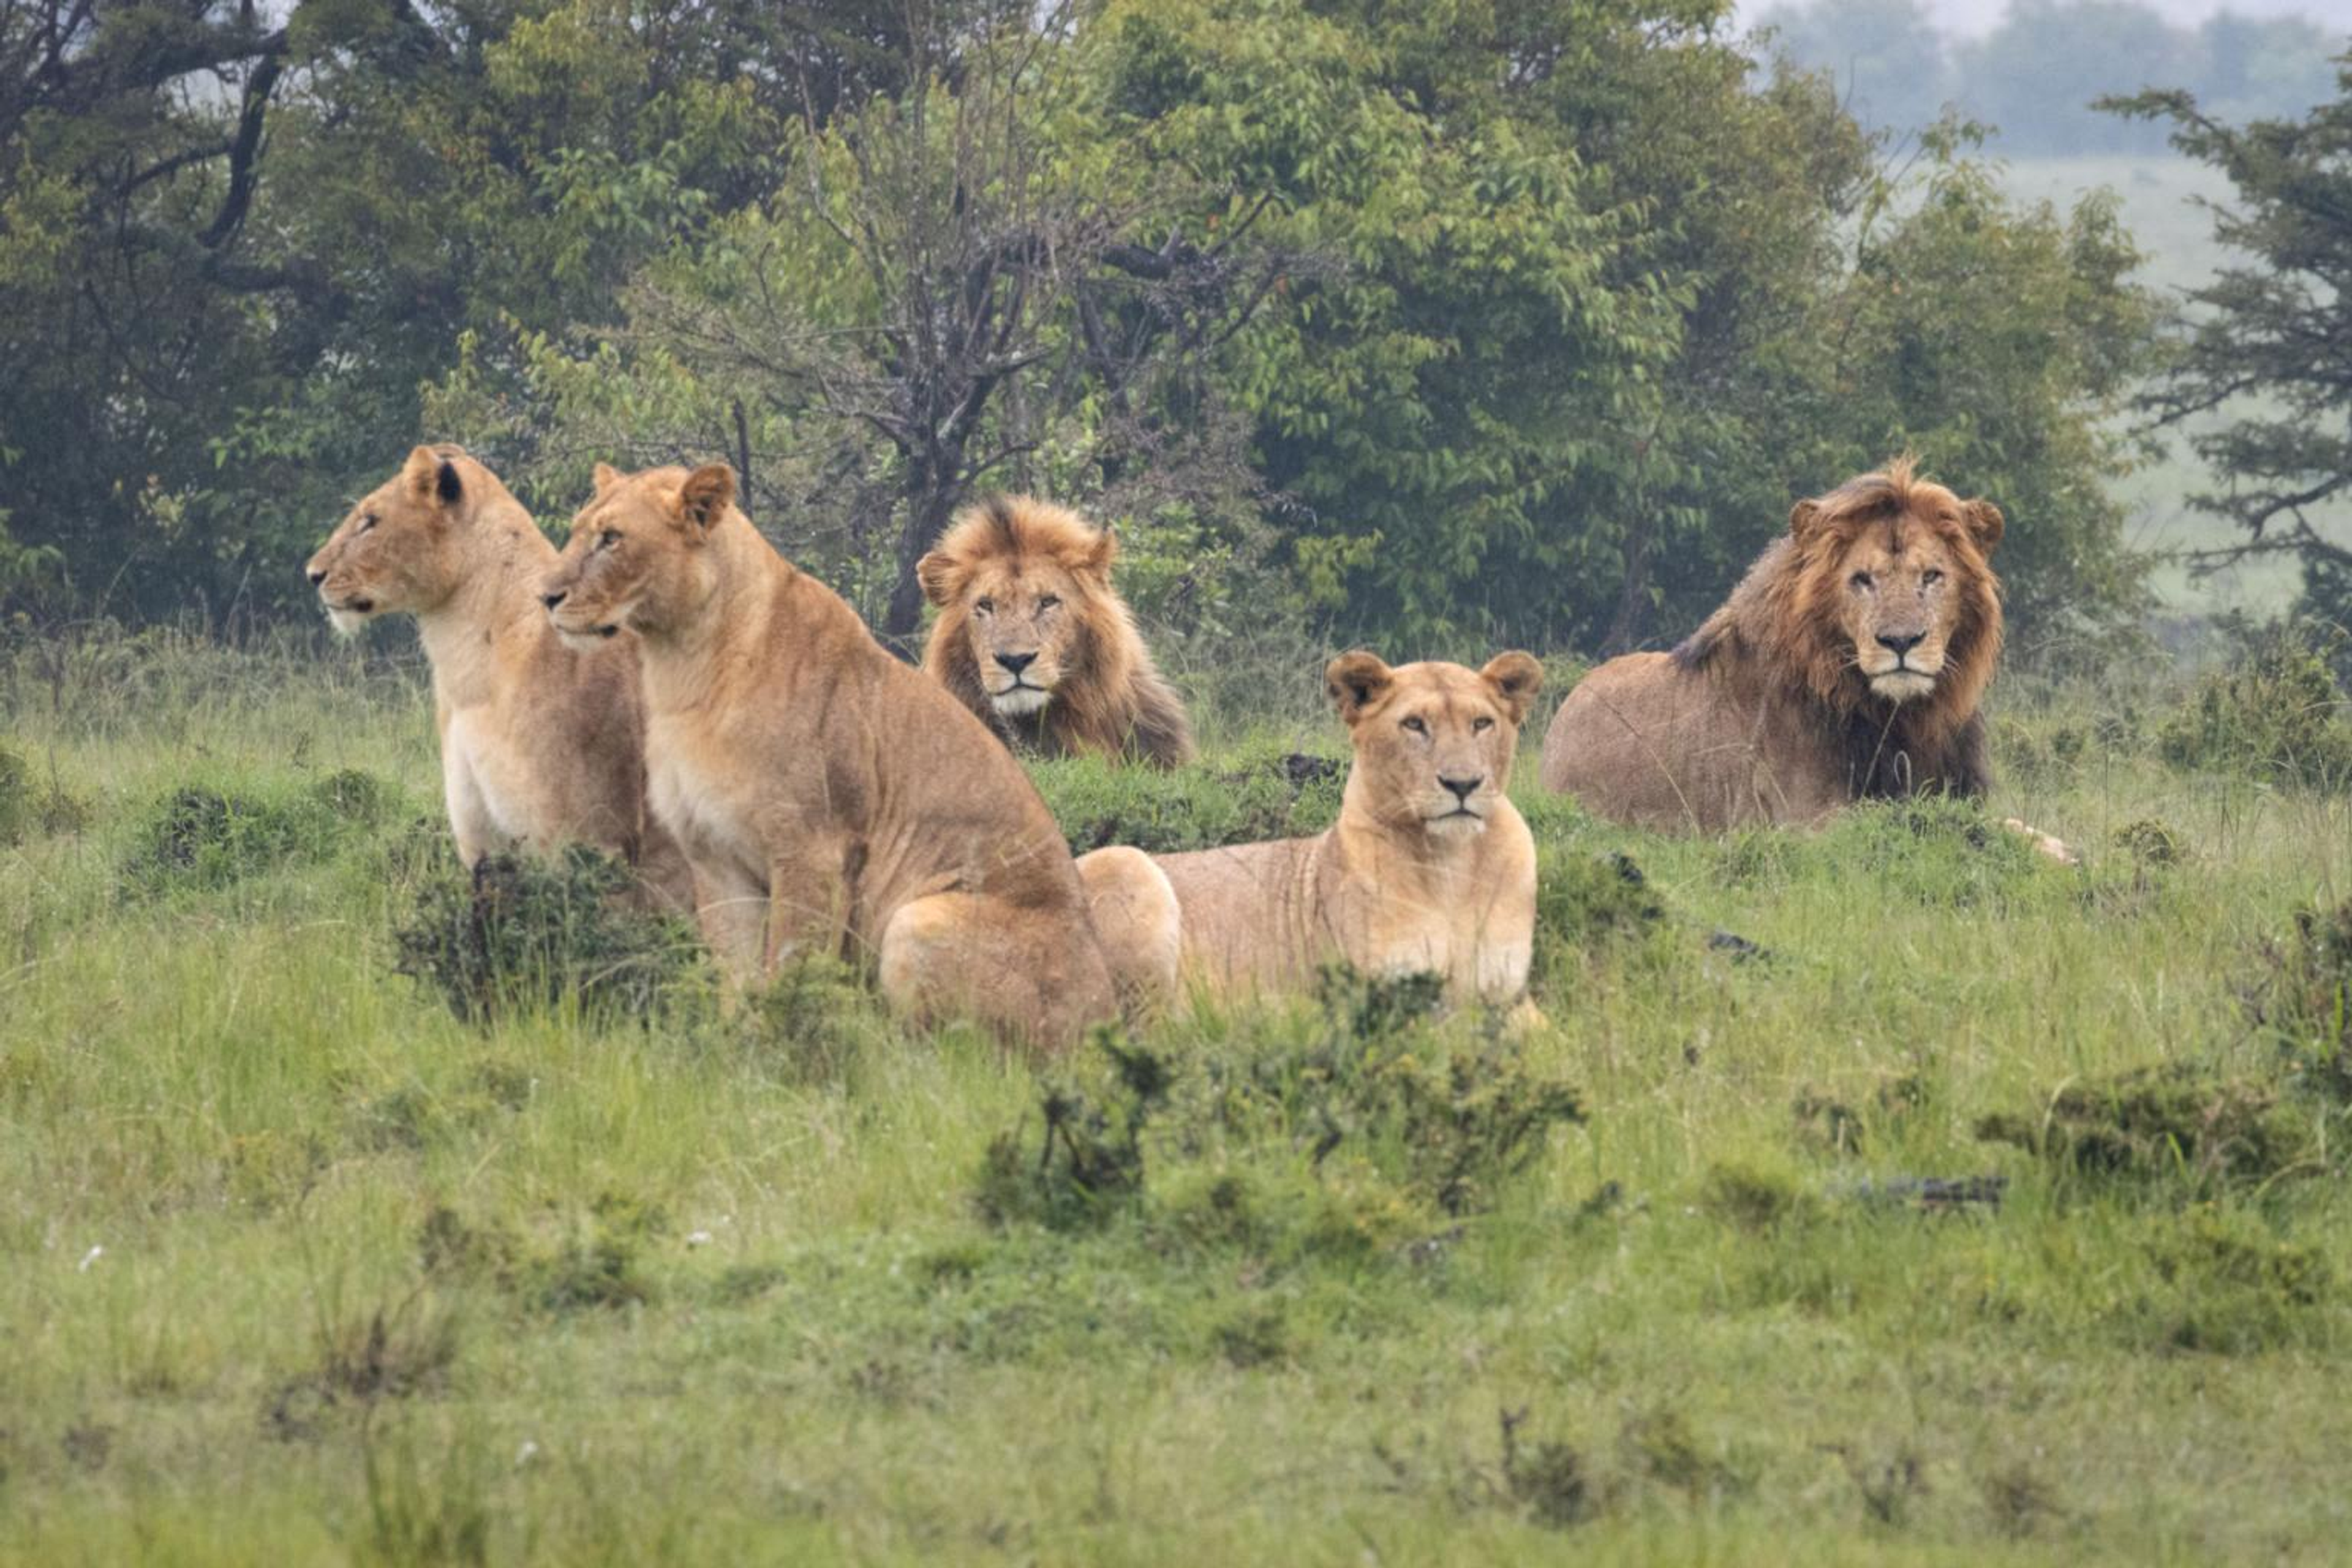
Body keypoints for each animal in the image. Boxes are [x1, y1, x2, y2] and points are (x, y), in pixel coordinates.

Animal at [537, 461, 1162, 1049]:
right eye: (577, 531)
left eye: (611, 538)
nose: (545, 597)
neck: (680, 666)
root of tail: (1103, 1021)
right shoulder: (715, 860)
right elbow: (736, 981)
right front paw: (738, 1054)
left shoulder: (812, 850)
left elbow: (791, 969)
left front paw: (784, 1051)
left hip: (917, 919)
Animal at [1121, 651, 1543, 1013]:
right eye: (1414, 724)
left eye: (1482, 723)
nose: (1463, 784)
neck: (1454, 863)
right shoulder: (1382, 996)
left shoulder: (1510, 998)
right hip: (1127, 866)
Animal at [1539, 459, 2073, 861]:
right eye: (1862, 580)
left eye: (1932, 576)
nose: (1900, 641)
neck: (1906, 718)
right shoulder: (1811, 823)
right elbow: (1929, 826)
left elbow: (2000, 823)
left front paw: (2058, 846)